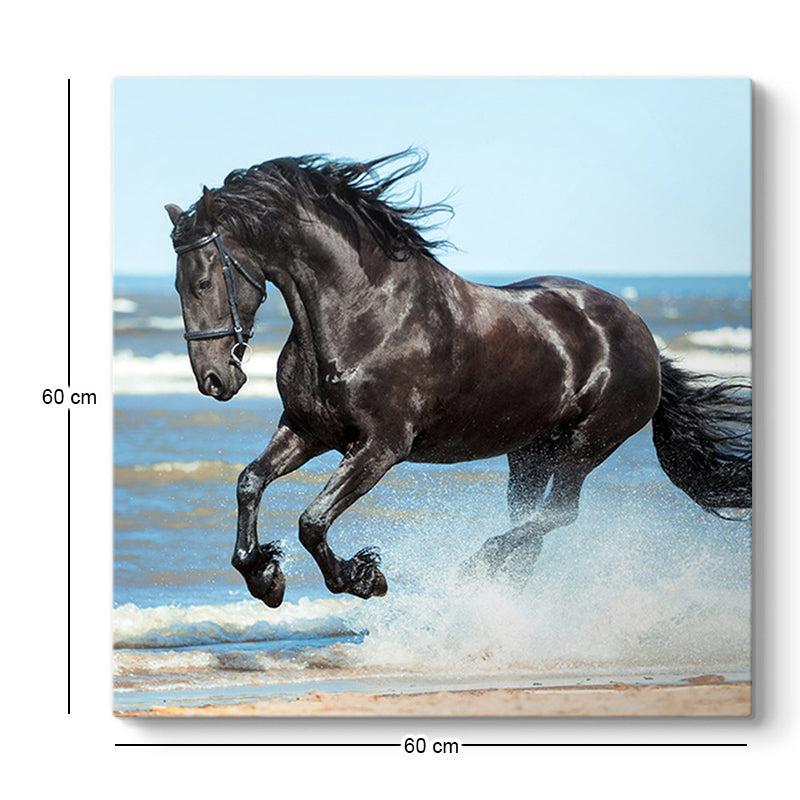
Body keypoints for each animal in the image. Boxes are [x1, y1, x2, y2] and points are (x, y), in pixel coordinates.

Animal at [165, 150, 751, 608]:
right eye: (176, 284)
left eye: (202, 281)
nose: (214, 379)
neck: (365, 313)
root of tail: (643, 337)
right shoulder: (309, 430)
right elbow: (249, 482)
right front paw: (264, 577)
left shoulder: (380, 447)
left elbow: (313, 520)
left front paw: (363, 577)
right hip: (530, 452)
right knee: (532, 525)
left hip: (587, 444)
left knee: (558, 515)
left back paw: (475, 571)